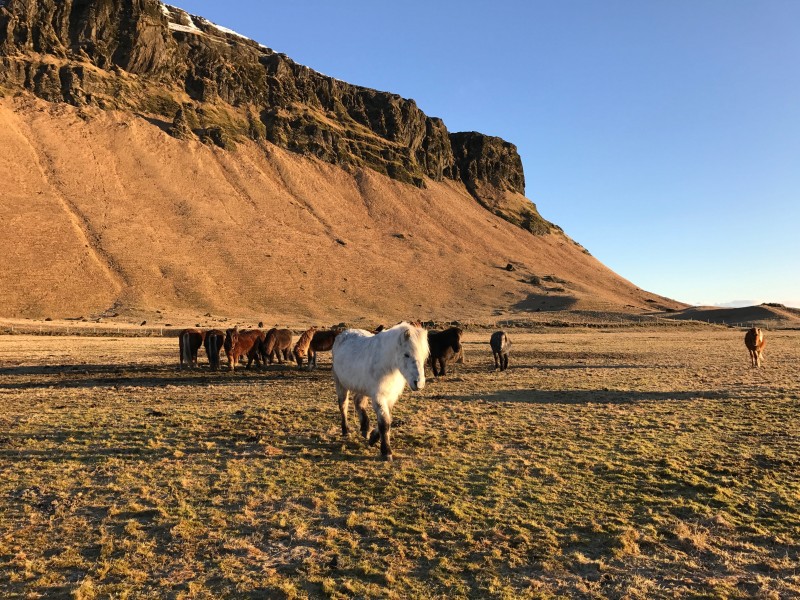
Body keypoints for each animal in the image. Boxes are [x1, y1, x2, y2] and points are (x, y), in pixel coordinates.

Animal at [332, 324, 432, 460]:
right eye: (406, 355)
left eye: (424, 356)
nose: (419, 384)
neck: (387, 365)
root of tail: (343, 334)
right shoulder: (379, 396)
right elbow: (384, 423)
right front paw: (386, 452)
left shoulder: (390, 397)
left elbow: (387, 419)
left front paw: (373, 438)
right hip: (340, 383)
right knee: (343, 405)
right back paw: (346, 430)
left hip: (362, 387)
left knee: (358, 402)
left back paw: (365, 429)